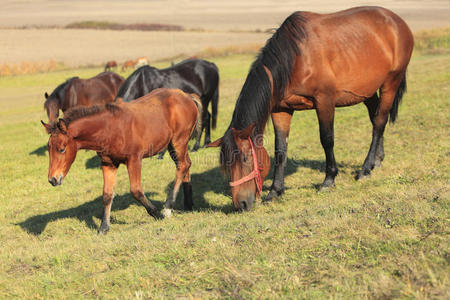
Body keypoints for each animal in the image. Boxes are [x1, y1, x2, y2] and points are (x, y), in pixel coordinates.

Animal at [41, 88, 201, 233]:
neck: (109, 129)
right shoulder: (108, 164)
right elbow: (107, 195)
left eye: (62, 149)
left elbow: (136, 191)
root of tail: (187, 96)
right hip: (173, 145)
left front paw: (157, 214)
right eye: (48, 149)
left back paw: (168, 208)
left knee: (182, 165)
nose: (53, 179)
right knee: (186, 164)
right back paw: (188, 204)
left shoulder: (134, 160)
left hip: (179, 141)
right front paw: (104, 227)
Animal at [207, 5, 412, 211]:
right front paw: (275, 191)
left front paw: (329, 180)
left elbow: (327, 140)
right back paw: (377, 160)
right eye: (226, 165)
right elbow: (280, 149)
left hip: (390, 83)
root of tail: (397, 22)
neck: (295, 58)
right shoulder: (281, 110)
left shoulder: (324, 102)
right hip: (366, 92)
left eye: (244, 158)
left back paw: (365, 169)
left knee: (379, 122)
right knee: (375, 117)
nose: (240, 204)